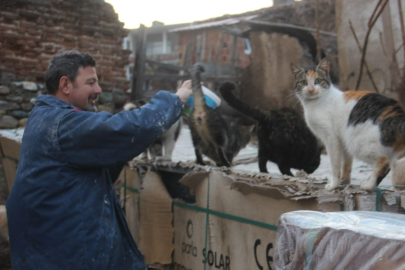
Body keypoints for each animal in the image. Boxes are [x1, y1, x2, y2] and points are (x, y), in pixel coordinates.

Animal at [290, 58, 404, 191]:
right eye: (303, 82)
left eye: (317, 81)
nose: (311, 89)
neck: (315, 103)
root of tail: (398, 113)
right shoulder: (342, 140)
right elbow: (346, 164)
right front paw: (344, 182)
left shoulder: (331, 138)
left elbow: (335, 165)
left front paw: (333, 185)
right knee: (390, 163)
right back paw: (368, 183)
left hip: (357, 143)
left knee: (385, 162)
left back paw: (368, 185)